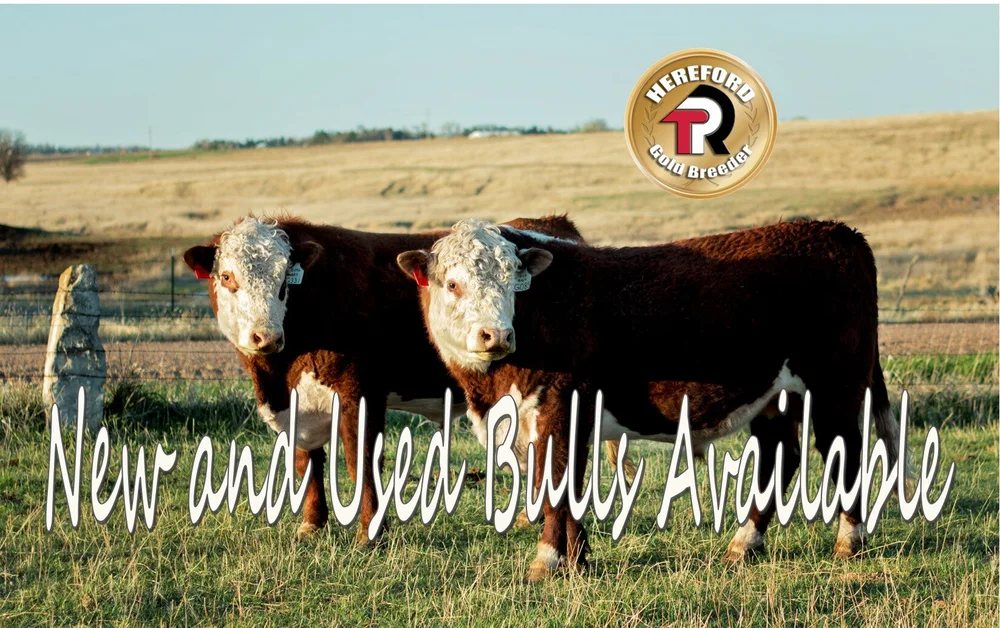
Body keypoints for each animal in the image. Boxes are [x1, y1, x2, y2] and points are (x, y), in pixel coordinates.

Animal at [182, 214, 627, 543]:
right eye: (227, 278)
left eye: (281, 281)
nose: (266, 336)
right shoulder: (297, 405)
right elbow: (308, 459)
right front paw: (312, 524)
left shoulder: (360, 392)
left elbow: (359, 459)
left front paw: (369, 535)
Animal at [397, 218, 902, 580]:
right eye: (452, 284)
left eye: (512, 281)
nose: (496, 334)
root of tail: (839, 233)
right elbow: (567, 485)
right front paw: (578, 559)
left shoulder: (558, 405)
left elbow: (556, 482)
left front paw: (548, 561)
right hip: (776, 396)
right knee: (781, 457)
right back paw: (744, 545)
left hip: (836, 386)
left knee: (845, 452)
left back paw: (848, 542)